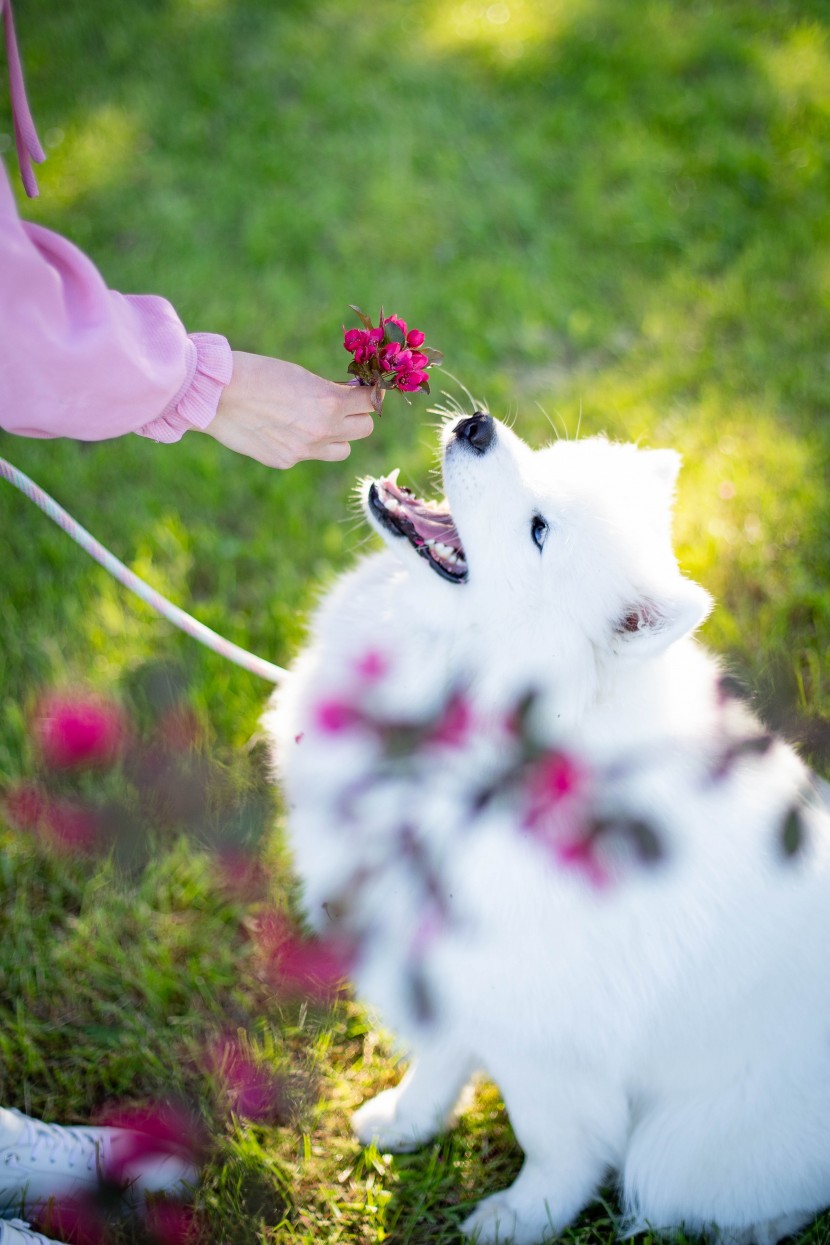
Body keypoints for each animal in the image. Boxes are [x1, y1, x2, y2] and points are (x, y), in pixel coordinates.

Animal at [265, 413, 830, 1240]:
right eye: (541, 458)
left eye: (538, 531)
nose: (476, 425)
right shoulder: (444, 961)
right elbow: (440, 1054)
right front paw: (407, 1118)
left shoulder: (547, 1035)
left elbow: (555, 1141)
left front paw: (520, 1216)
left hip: (687, 1139)